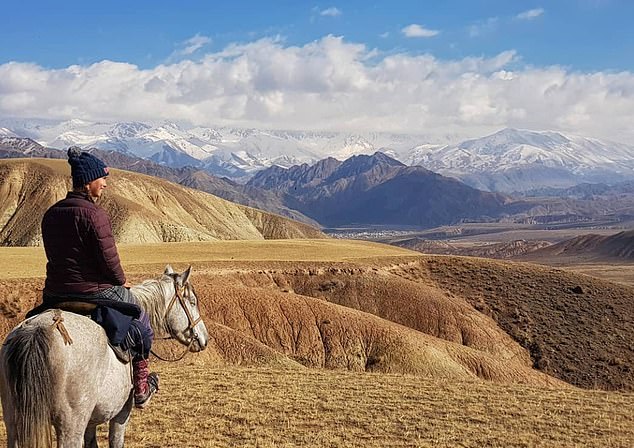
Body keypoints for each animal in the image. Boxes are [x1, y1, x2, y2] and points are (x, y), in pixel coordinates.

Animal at [0, 266, 209, 448]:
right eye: (192, 301)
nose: (204, 339)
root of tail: (39, 329)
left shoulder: (91, 421)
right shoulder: (121, 412)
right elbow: (116, 441)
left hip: (15, 421)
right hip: (70, 425)